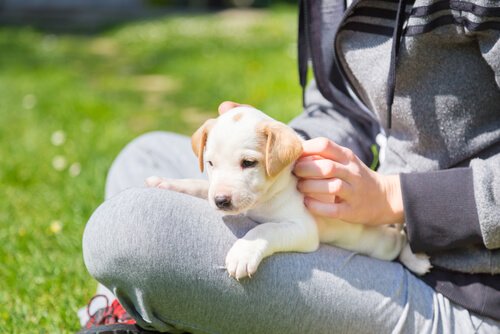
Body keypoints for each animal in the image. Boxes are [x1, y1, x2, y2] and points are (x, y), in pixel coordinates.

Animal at [146, 107, 432, 280]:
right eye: (210, 163)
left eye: (248, 163)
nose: (221, 201)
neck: (262, 200)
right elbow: (198, 185)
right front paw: (166, 183)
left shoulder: (302, 228)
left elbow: (265, 229)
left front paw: (243, 252)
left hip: (382, 244)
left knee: (401, 240)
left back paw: (416, 259)